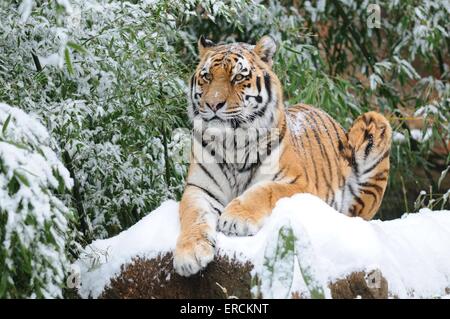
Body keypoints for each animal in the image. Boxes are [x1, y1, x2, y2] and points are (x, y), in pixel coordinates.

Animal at [174, 35, 392, 278]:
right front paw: (189, 254)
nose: (213, 104)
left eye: (238, 77)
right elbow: (194, 216)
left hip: (374, 122)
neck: (233, 143)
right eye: (207, 76)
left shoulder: (301, 185)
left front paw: (235, 218)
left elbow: (264, 190)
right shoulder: (199, 189)